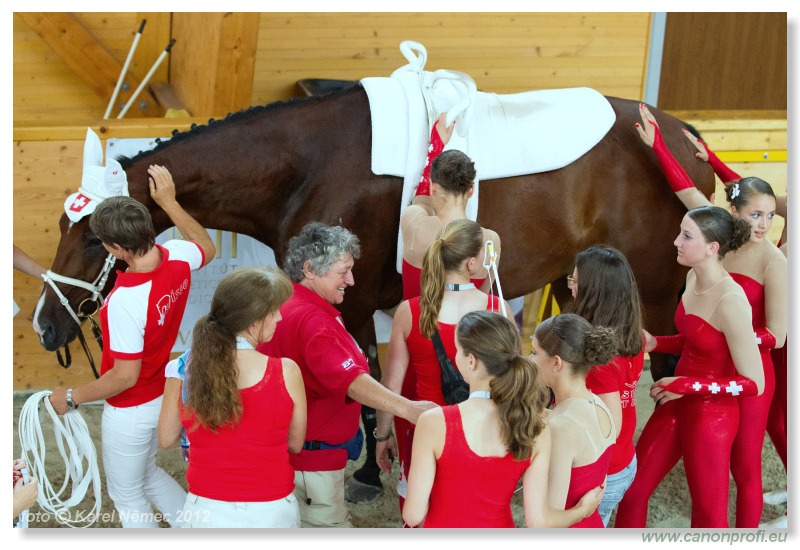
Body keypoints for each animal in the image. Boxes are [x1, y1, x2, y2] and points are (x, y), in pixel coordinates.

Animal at [31, 85, 708, 402]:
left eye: (92, 239)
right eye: (64, 229)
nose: (44, 324)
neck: (306, 165)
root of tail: (681, 132)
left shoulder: (351, 303)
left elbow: (365, 385)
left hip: (655, 293)